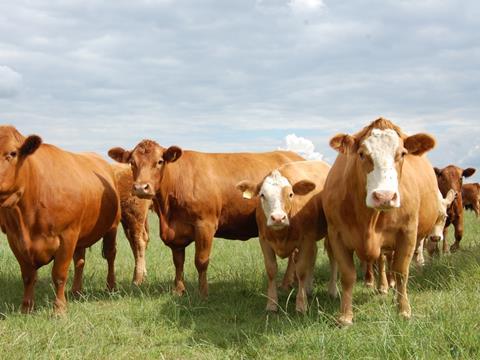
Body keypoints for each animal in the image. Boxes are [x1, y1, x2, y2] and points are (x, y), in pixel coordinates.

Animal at [0, 125, 120, 314]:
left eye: (12, 153)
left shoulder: (67, 235)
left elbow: (59, 274)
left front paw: (59, 309)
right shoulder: (14, 239)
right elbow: (28, 276)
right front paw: (26, 307)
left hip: (111, 227)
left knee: (110, 255)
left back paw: (111, 287)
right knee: (79, 261)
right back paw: (76, 291)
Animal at [235, 160, 334, 312]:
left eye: (291, 194)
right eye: (262, 195)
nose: (277, 218)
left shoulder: (306, 240)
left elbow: (301, 270)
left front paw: (301, 305)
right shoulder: (264, 240)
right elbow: (271, 269)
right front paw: (271, 304)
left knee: (332, 258)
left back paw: (332, 291)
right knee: (314, 255)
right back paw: (308, 289)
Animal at [322, 118, 438, 326]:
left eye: (402, 153)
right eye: (361, 154)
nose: (384, 196)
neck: (368, 221)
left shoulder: (408, 233)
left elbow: (401, 271)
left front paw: (404, 310)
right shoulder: (336, 234)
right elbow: (348, 275)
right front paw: (345, 316)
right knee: (382, 261)